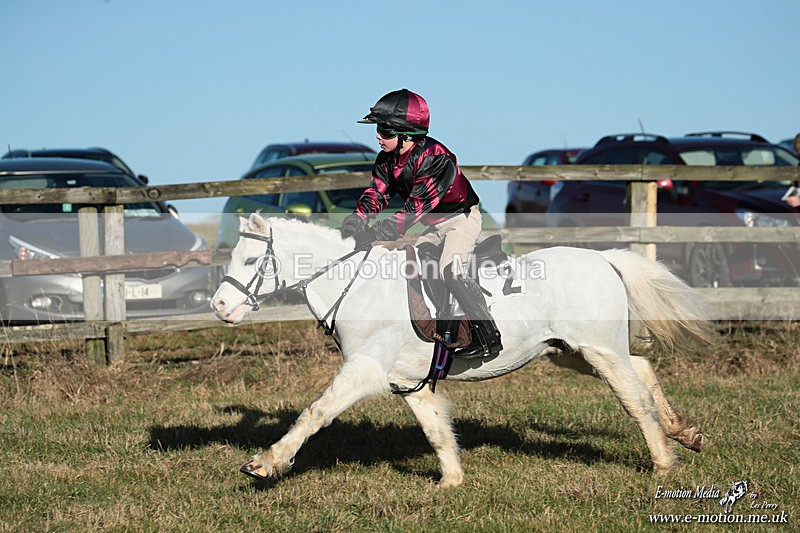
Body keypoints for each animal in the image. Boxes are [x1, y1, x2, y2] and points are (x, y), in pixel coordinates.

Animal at [211, 213, 715, 487]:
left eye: (252, 260)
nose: (220, 306)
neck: (356, 284)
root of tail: (604, 258)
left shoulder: (364, 369)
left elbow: (314, 413)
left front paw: (266, 463)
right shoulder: (408, 380)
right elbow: (436, 429)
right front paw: (451, 482)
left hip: (598, 350)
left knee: (635, 400)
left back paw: (664, 462)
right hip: (571, 351)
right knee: (643, 368)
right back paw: (686, 433)